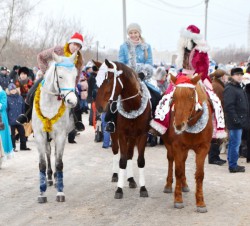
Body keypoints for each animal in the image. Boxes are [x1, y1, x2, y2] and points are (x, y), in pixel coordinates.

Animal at [32, 52, 77, 203]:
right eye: (61, 76)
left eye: (75, 76)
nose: (72, 101)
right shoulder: (39, 136)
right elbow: (41, 163)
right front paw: (41, 193)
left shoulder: (61, 135)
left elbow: (59, 163)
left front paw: (60, 193)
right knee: (47, 152)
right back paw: (50, 178)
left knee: (55, 153)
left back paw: (56, 179)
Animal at [95, 59, 150, 199]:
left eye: (108, 80)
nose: (98, 106)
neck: (132, 106)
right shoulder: (122, 135)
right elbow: (122, 161)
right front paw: (119, 189)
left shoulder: (142, 135)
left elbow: (140, 160)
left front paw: (143, 188)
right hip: (114, 135)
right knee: (116, 151)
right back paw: (116, 175)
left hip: (133, 136)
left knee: (130, 154)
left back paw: (131, 179)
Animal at [162, 73, 213, 212]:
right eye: (174, 97)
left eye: (191, 96)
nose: (179, 125)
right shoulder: (177, 146)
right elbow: (178, 171)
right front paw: (178, 199)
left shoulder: (204, 147)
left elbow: (199, 174)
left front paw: (200, 202)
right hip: (169, 145)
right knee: (171, 160)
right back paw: (168, 185)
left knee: (183, 161)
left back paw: (184, 184)